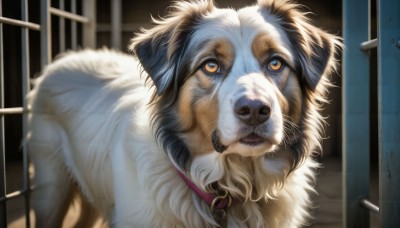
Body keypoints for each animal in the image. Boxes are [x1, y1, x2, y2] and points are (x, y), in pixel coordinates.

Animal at [27, 0, 340, 227]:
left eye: (275, 63)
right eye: (211, 65)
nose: (254, 110)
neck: (231, 187)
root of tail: (66, 56)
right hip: (51, 188)